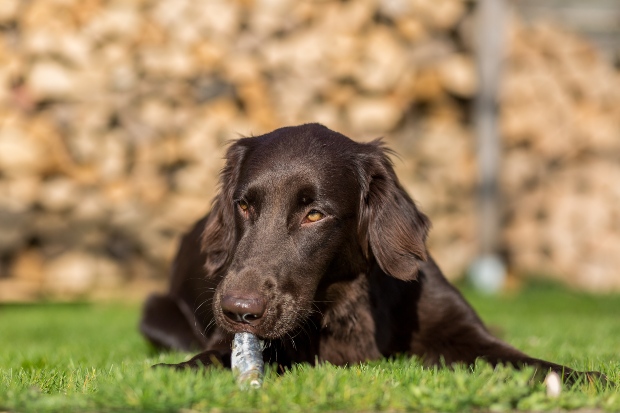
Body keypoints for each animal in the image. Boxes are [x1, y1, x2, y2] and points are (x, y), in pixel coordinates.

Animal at [142, 122, 600, 384]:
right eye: (243, 206)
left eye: (314, 214)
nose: (239, 311)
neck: (345, 302)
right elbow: (211, 358)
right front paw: (173, 374)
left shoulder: (460, 332)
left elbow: (527, 361)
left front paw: (589, 377)